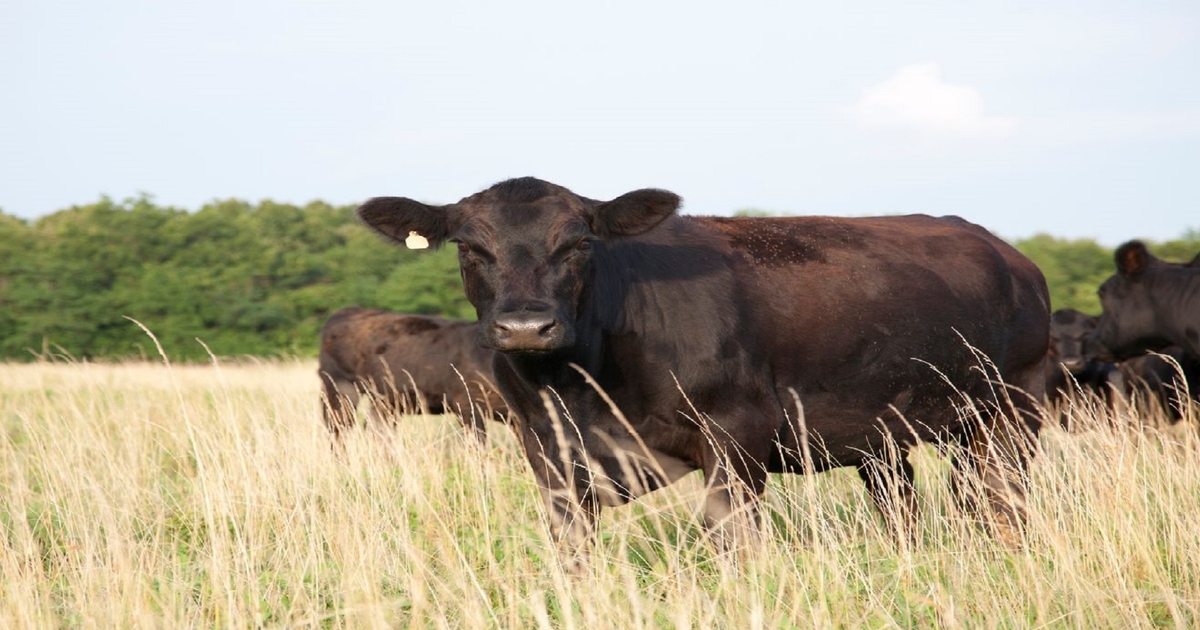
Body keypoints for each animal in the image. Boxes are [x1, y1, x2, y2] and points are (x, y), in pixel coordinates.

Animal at [316, 306, 504, 441]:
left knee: (377, 430)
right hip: (339, 388)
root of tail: (347, 310)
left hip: (386, 401)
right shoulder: (466, 405)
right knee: (339, 430)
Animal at [355, 175, 1051, 564]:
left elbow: (735, 544)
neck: (584, 386)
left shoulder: (737, 435)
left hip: (1009, 415)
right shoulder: (548, 450)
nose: (526, 327)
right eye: (470, 247)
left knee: (1004, 505)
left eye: (579, 242)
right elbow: (571, 548)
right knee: (908, 506)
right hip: (888, 435)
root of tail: (1005, 251)